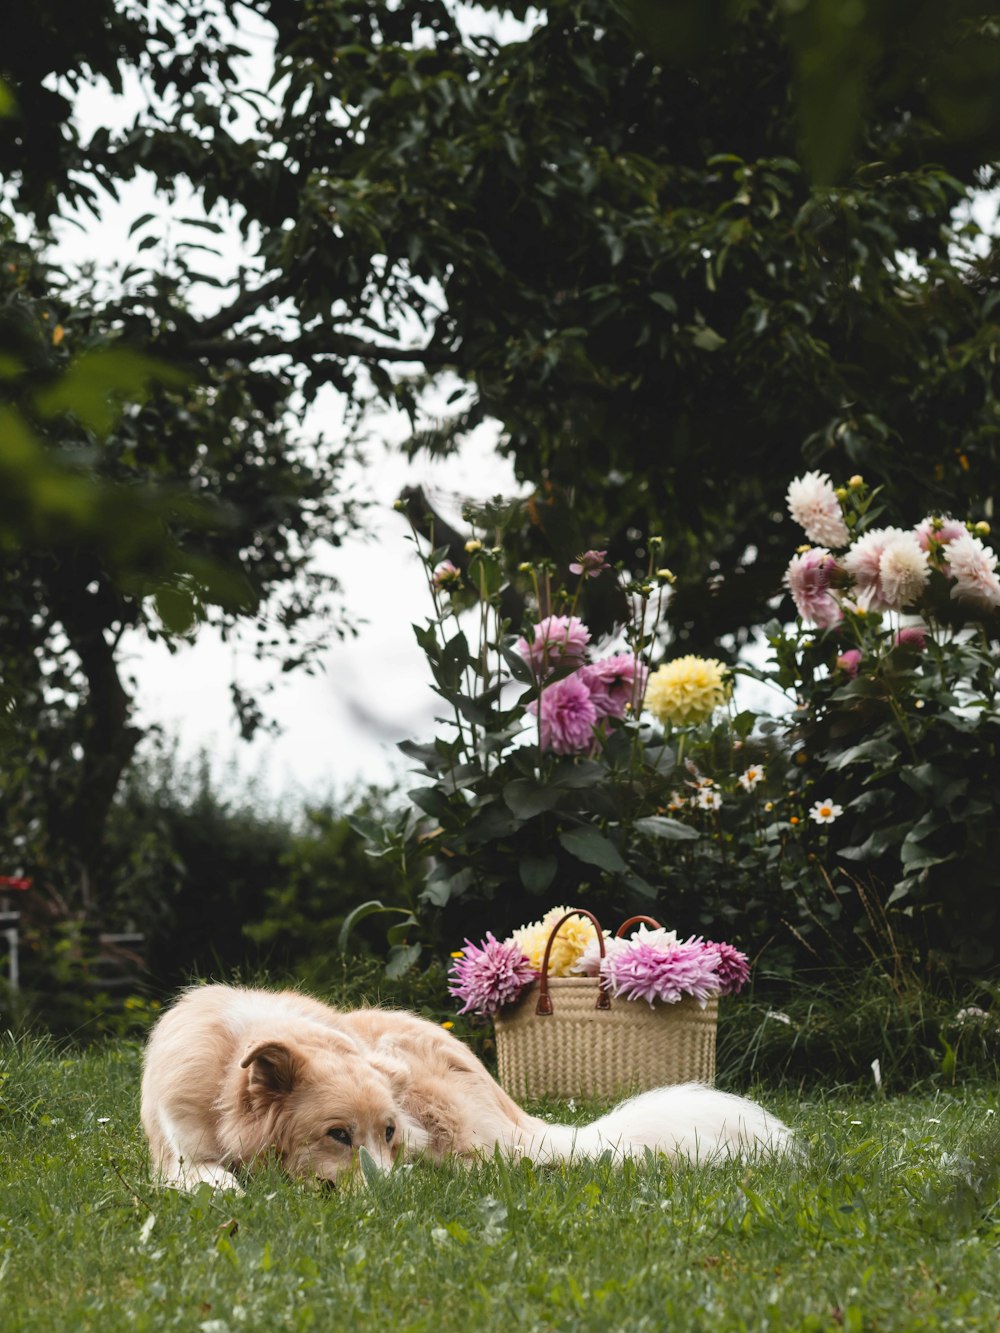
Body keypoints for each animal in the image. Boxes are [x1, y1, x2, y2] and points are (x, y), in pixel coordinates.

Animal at [142, 981, 800, 1189]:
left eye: (385, 1133)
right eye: (337, 1135)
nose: (394, 1197)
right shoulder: (179, 1152)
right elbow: (206, 1176)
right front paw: (226, 1187)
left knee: (491, 1161)